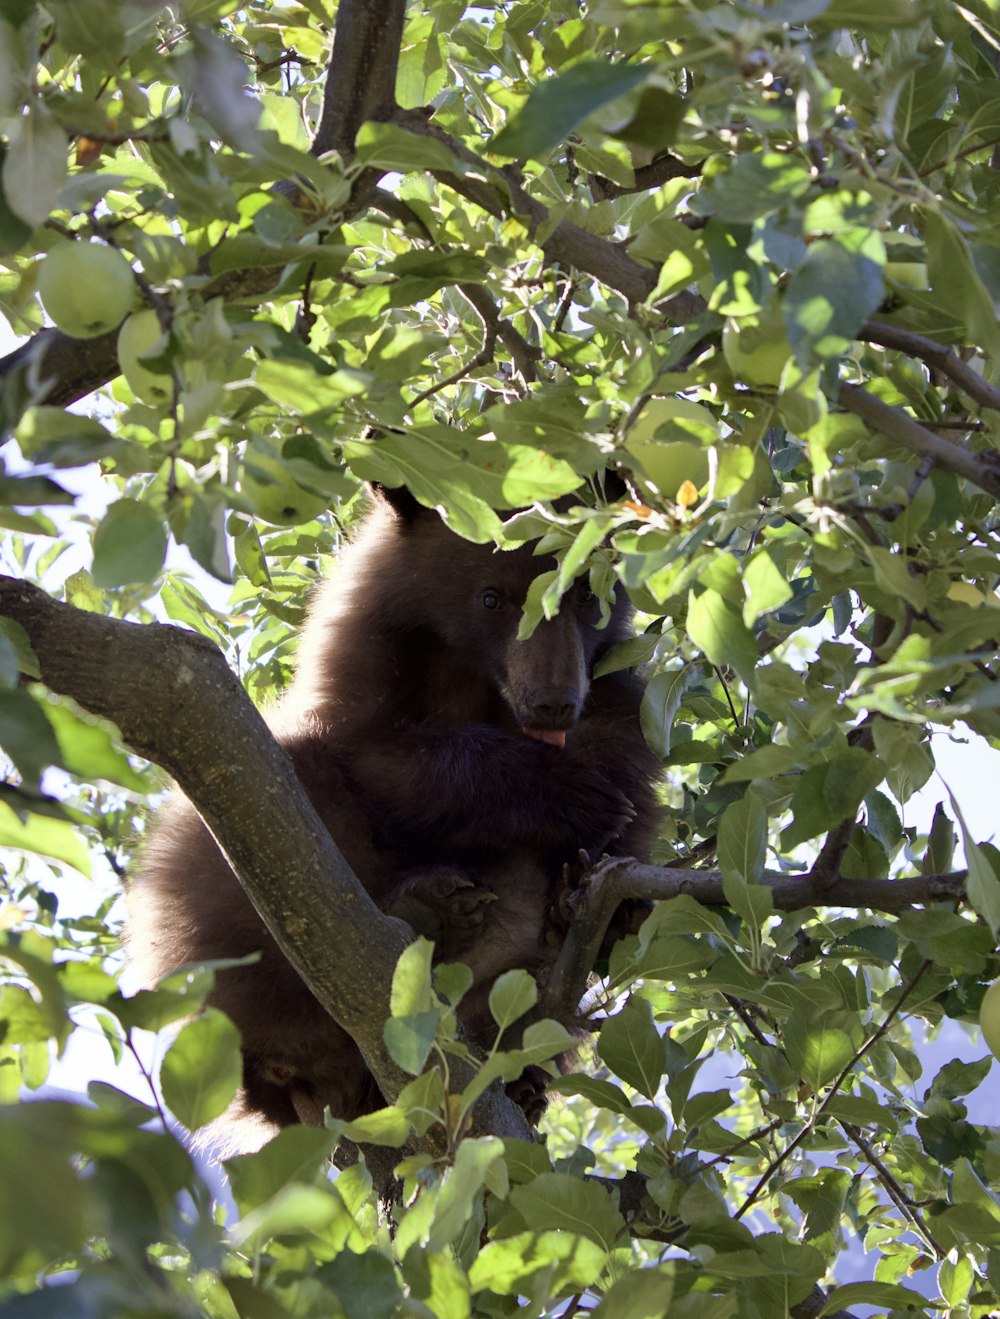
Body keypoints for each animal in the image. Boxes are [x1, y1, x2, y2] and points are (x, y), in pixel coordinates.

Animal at [127, 485, 664, 1144]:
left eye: (586, 594)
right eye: (491, 597)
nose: (553, 703)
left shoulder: (617, 693)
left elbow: (630, 774)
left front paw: (599, 860)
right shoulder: (361, 660)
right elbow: (386, 759)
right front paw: (573, 790)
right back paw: (420, 909)